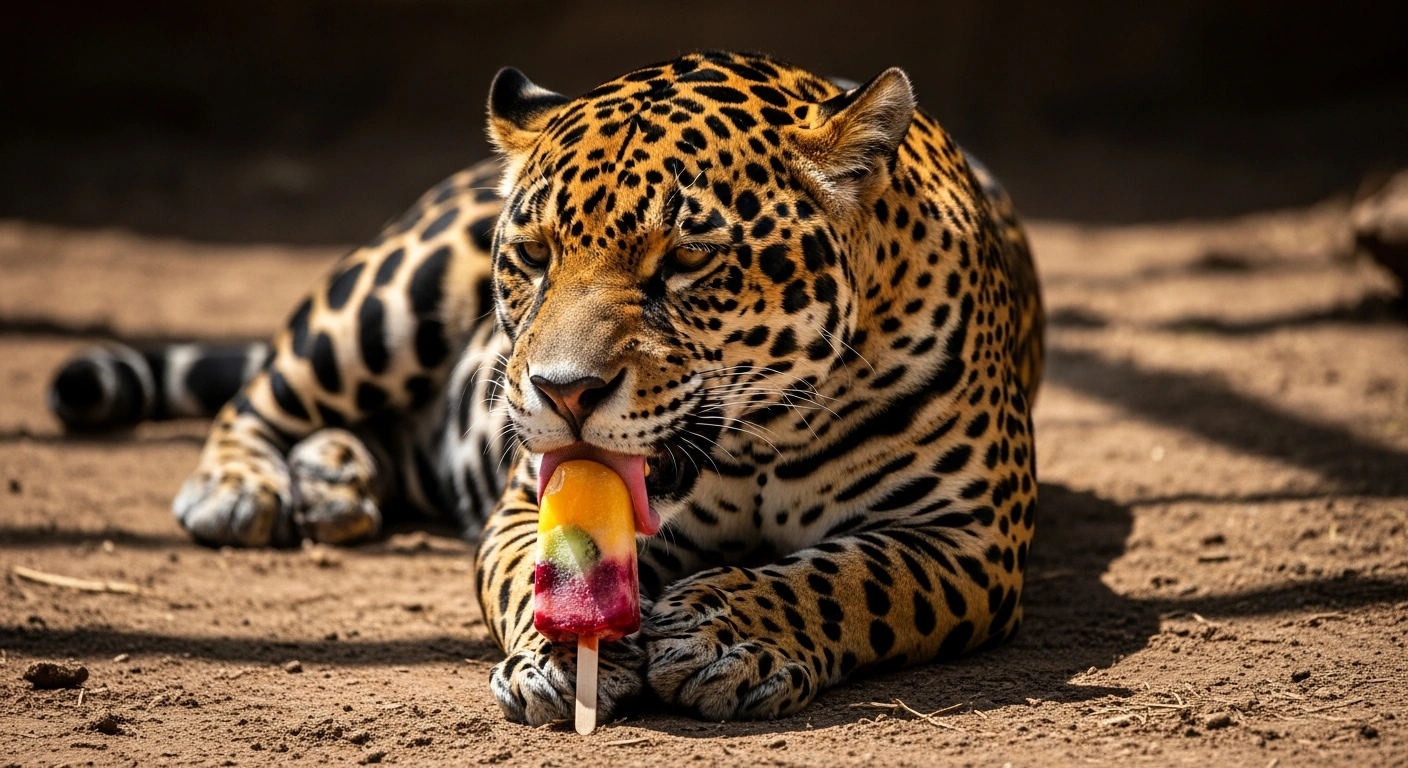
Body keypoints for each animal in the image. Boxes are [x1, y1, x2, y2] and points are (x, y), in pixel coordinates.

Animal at [49, 50, 1043, 726]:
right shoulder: (524, 500)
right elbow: (528, 575)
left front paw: (726, 635)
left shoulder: (970, 539)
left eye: (688, 260)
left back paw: (334, 483)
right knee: (265, 390)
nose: (565, 392)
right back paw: (241, 487)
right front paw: (562, 654)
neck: (761, 441)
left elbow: (853, 580)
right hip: (387, 298)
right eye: (531, 256)